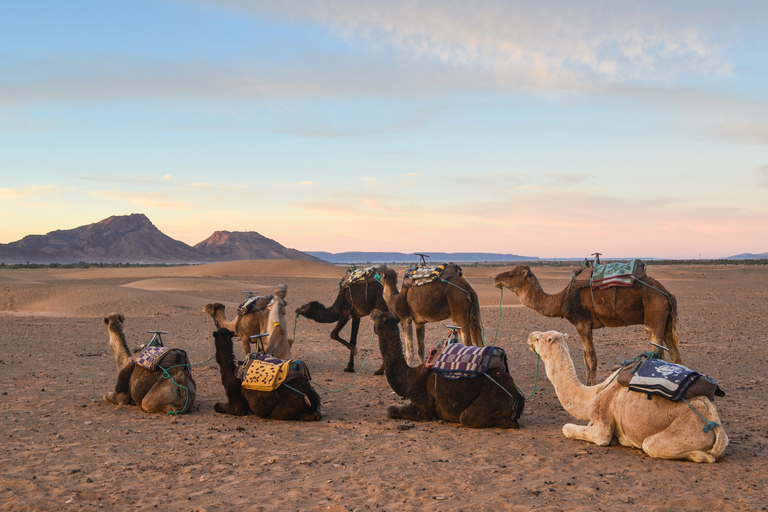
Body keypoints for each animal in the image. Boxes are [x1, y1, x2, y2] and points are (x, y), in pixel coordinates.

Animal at [368, 312, 524, 428]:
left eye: (378, 316)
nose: (372, 311)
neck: (410, 377)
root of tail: (517, 397)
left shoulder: (423, 408)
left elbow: (391, 410)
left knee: (466, 417)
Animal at [496, 264, 680, 384]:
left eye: (512, 274)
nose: (496, 278)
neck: (560, 299)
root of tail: (667, 294)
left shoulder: (582, 322)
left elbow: (591, 358)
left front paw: (591, 387)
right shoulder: (583, 325)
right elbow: (585, 358)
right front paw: (586, 384)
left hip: (653, 316)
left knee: (657, 354)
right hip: (666, 321)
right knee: (674, 353)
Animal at [528, 330, 728, 462]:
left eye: (539, 338)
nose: (530, 335)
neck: (591, 395)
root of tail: (715, 424)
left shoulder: (602, 423)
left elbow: (569, 429)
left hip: (684, 432)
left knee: (651, 445)